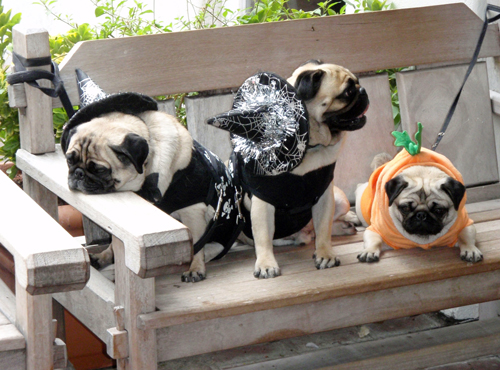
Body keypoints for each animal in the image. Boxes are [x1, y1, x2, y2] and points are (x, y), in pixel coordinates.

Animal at [354, 149, 482, 262]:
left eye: (439, 210)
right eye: (405, 208)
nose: (421, 215)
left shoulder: (466, 224)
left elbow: (465, 237)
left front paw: (470, 250)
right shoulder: (374, 229)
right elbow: (374, 240)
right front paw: (369, 251)